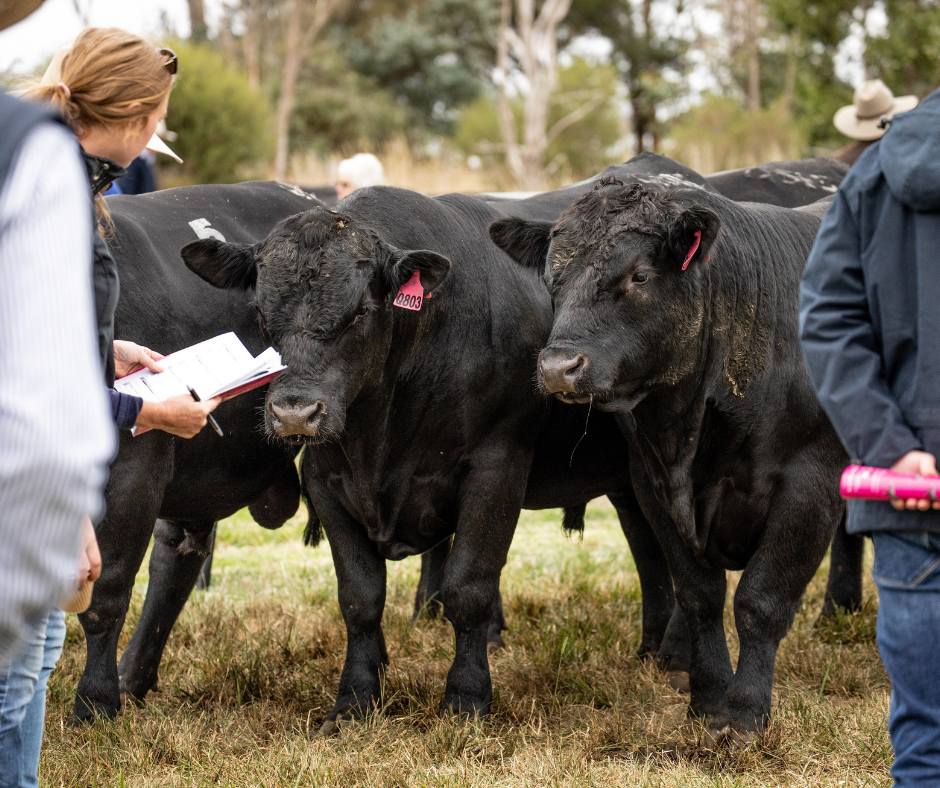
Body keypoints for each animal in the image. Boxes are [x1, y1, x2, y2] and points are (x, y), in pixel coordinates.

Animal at [488, 178, 847, 741]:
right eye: (552, 278)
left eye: (639, 275)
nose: (558, 367)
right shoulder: (653, 483)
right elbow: (699, 595)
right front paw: (709, 699)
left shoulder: (811, 482)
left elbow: (761, 600)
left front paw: (745, 712)